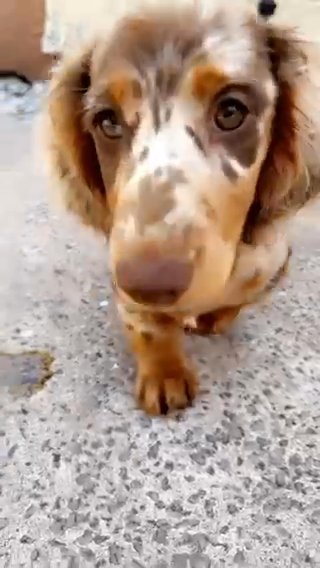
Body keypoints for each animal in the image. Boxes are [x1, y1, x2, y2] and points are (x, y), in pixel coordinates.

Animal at [44, 2, 320, 414]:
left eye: (231, 111)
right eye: (107, 121)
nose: (148, 282)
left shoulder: (271, 265)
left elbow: (238, 301)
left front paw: (213, 318)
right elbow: (148, 325)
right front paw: (165, 374)